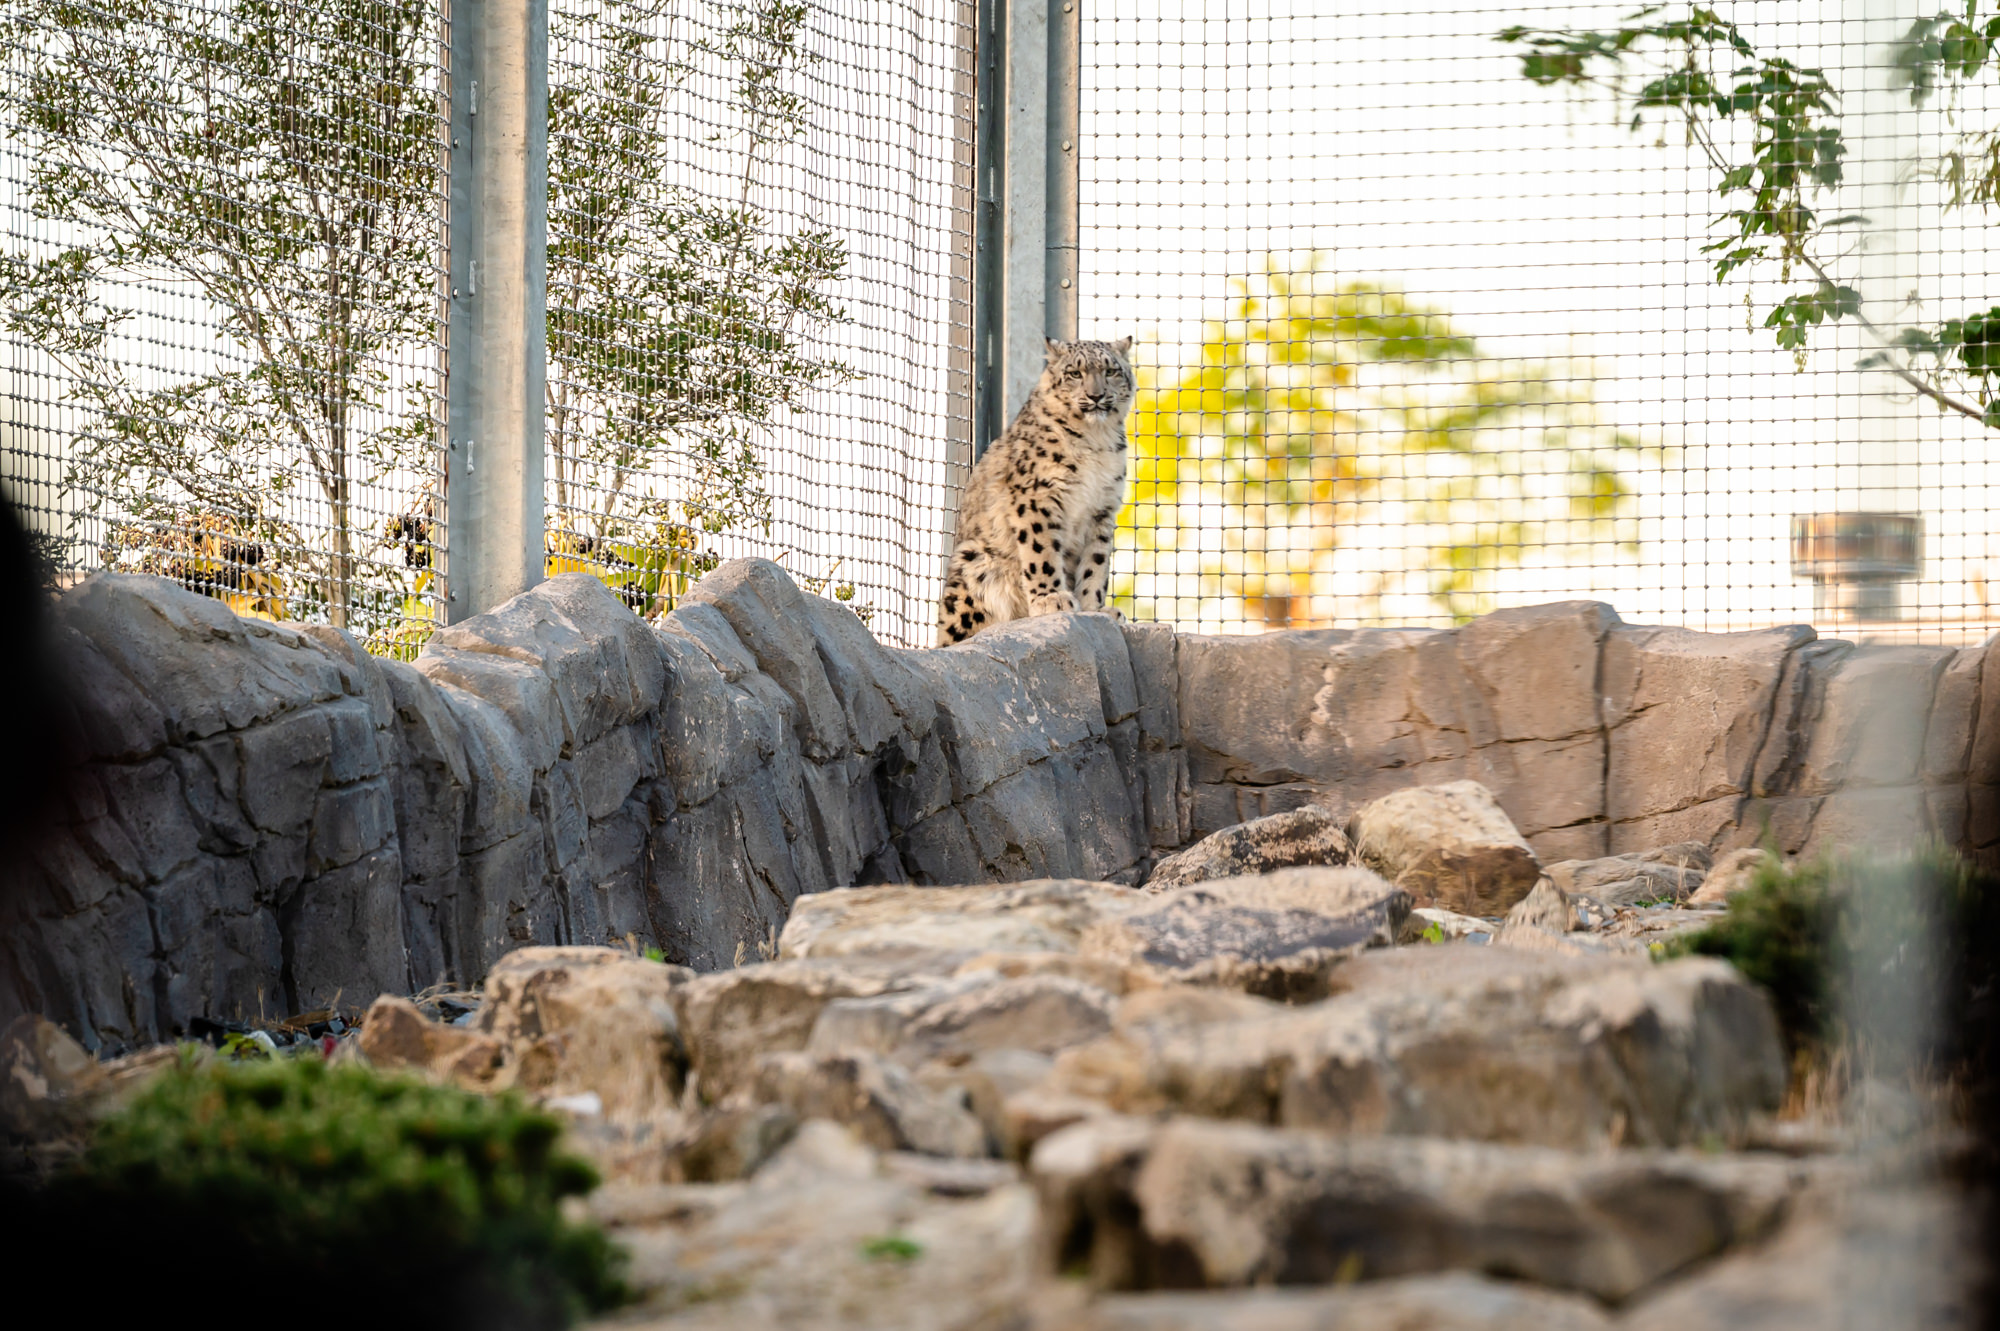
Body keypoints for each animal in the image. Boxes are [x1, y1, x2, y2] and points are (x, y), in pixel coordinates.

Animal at [937, 336, 1134, 645]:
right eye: (1074, 373)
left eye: (1111, 371)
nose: (1096, 396)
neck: (1096, 442)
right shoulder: (1036, 497)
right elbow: (1041, 552)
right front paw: (1051, 599)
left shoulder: (1102, 509)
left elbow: (1096, 562)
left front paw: (1095, 609)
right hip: (974, 563)